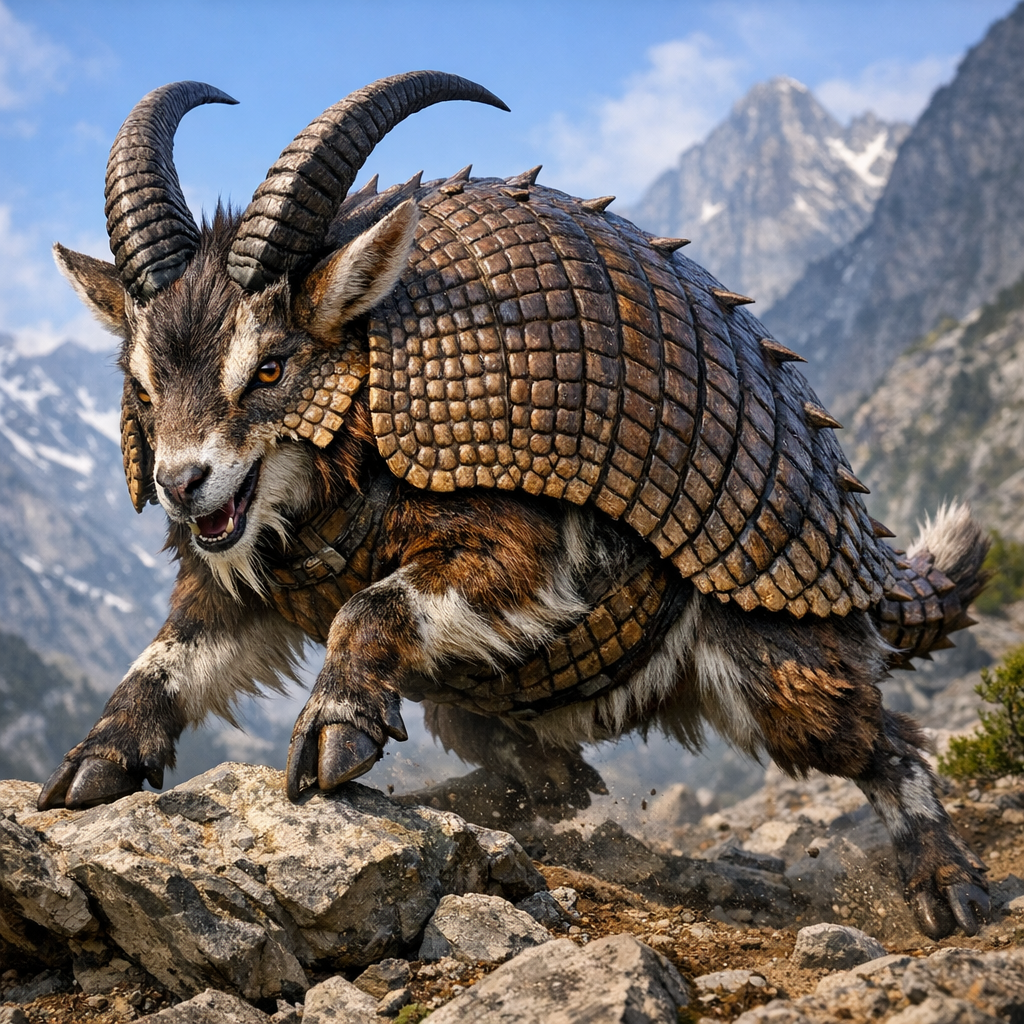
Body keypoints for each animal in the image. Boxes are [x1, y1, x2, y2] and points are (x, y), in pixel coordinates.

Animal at [42, 72, 990, 939]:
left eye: (272, 366)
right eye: (142, 386)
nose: (180, 484)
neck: (340, 474)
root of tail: (866, 553)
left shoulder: (531, 526)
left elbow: (372, 602)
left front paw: (335, 729)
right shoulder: (246, 573)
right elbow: (171, 654)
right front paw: (94, 763)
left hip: (775, 639)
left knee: (882, 740)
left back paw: (948, 888)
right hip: (474, 698)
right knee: (563, 780)